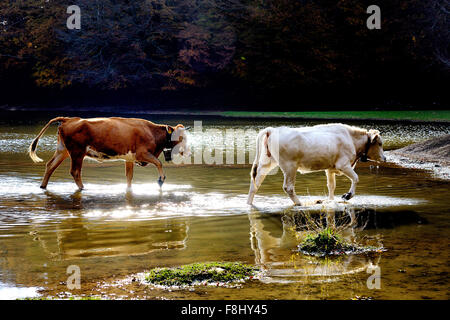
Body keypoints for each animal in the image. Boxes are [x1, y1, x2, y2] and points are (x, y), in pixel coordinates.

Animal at [28, 117, 190, 190]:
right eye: (180, 137)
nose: (188, 152)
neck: (152, 132)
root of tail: (69, 119)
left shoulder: (130, 158)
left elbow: (129, 176)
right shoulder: (142, 154)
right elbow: (159, 162)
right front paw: (161, 179)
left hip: (63, 151)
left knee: (50, 165)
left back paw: (43, 186)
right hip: (77, 152)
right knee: (75, 171)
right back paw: (83, 188)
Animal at [248, 122, 384, 205]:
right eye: (380, 143)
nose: (384, 158)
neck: (351, 139)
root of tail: (272, 130)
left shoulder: (330, 169)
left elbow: (331, 186)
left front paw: (331, 201)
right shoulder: (343, 165)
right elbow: (356, 178)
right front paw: (347, 195)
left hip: (267, 163)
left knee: (255, 184)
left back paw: (249, 203)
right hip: (290, 166)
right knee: (288, 187)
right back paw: (300, 203)